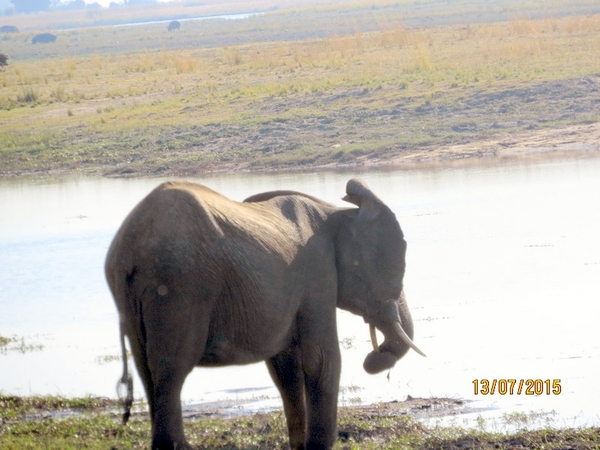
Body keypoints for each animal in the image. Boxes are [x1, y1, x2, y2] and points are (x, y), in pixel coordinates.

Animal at [106, 179, 426, 450]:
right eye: (397, 265)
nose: (374, 358)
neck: (335, 212)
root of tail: (130, 249)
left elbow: (285, 368)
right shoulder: (318, 273)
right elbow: (321, 358)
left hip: (134, 295)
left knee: (146, 370)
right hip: (179, 287)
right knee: (170, 370)